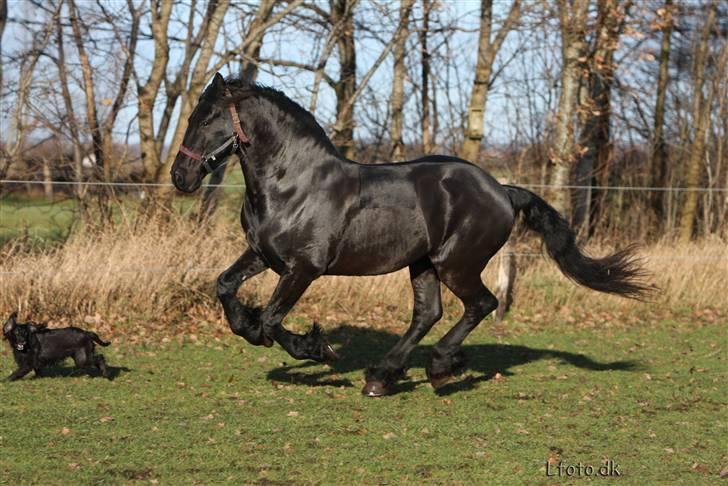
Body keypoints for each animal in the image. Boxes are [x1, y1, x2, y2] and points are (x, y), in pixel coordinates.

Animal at [172, 74, 656, 396]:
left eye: (208, 118)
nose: (181, 177)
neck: (293, 184)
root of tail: (502, 190)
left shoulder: (304, 268)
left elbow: (273, 319)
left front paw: (317, 348)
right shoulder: (262, 254)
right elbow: (225, 287)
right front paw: (249, 327)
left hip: (455, 263)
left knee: (481, 304)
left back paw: (440, 367)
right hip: (422, 263)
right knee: (428, 313)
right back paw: (382, 377)